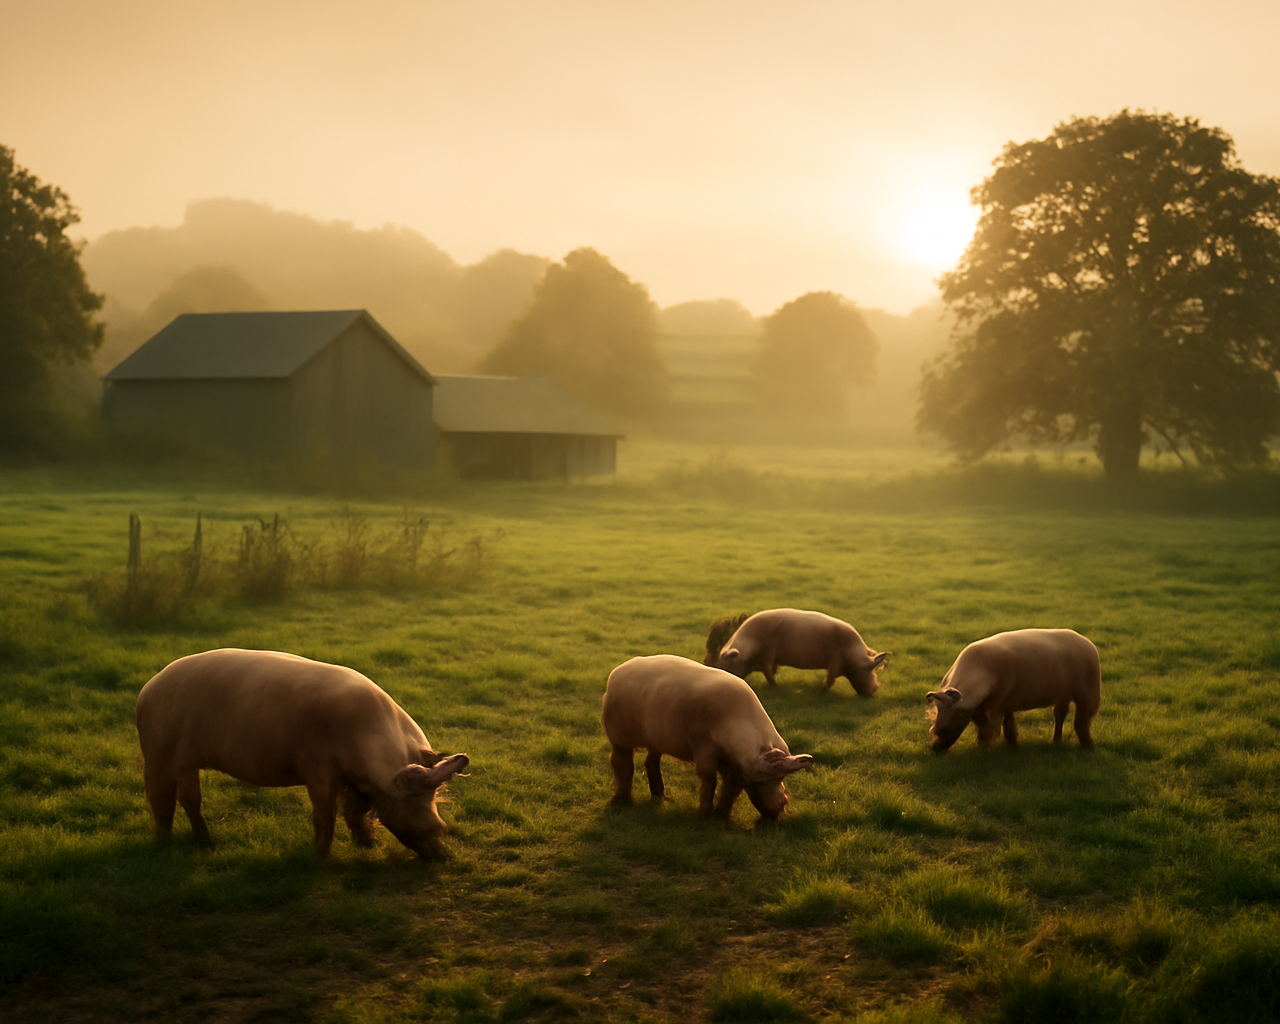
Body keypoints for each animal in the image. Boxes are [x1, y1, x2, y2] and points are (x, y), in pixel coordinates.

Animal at [135, 648, 469, 858]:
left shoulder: (357, 785)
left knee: (187, 799)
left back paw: (201, 842)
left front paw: (368, 847)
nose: (444, 855)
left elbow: (356, 812)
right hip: (158, 753)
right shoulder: (318, 771)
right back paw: (170, 844)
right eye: (415, 803)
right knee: (167, 801)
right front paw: (318, 857)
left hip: (182, 761)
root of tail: (147, 689)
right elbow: (325, 815)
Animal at [601, 654, 814, 820]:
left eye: (781, 778)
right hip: (617, 735)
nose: (782, 805)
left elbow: (732, 786)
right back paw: (621, 801)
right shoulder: (703, 745)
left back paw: (662, 798)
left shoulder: (731, 762)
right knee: (622, 764)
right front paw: (703, 816)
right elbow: (709, 778)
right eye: (764, 779)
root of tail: (616, 673)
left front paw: (721, 815)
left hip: (656, 738)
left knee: (650, 762)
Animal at [926, 628, 1101, 753]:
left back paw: (1088, 745)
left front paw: (983, 749)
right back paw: (1056, 741)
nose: (935, 749)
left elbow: (988, 729)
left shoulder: (996, 703)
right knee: (1060, 713)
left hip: (1089, 692)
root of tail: (1087, 642)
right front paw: (1012, 746)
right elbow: (1007, 724)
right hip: (1064, 694)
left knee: (1081, 721)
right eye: (934, 724)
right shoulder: (1003, 703)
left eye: (950, 726)